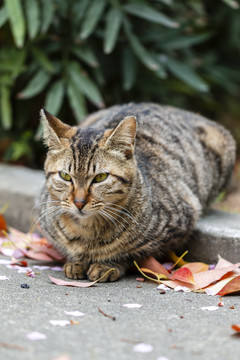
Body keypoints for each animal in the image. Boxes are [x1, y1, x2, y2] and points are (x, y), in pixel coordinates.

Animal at [38, 102, 236, 282]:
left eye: (100, 177)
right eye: (65, 176)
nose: (79, 202)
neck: (86, 230)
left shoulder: (178, 225)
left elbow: (131, 253)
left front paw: (107, 265)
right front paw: (76, 261)